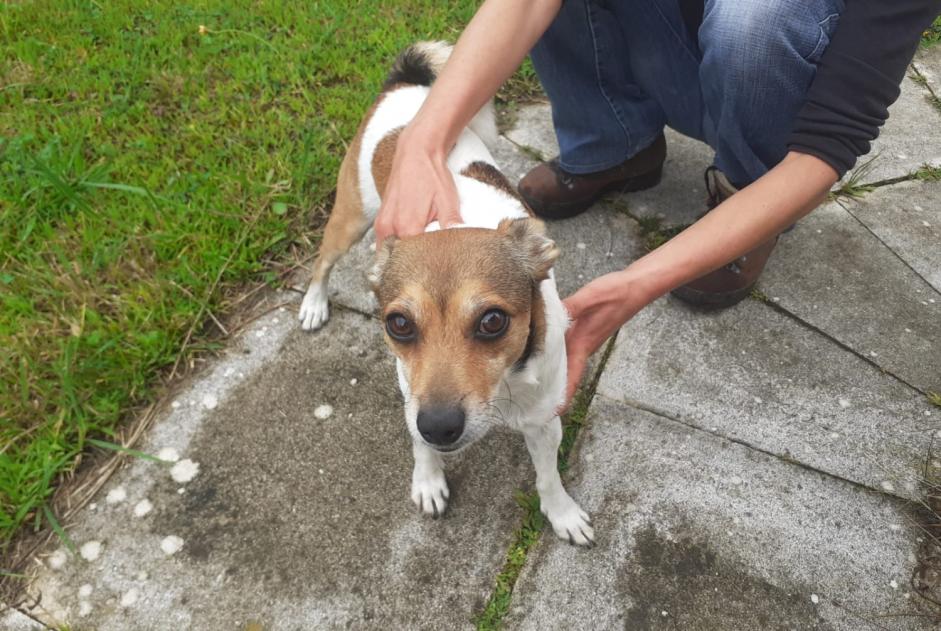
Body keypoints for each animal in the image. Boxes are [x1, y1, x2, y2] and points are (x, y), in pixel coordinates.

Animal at [300, 42, 596, 544]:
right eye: (398, 324)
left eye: (493, 321)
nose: (439, 427)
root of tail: (405, 83)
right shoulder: (411, 393)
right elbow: (417, 443)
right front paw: (428, 480)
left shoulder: (544, 420)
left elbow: (548, 476)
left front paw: (562, 513)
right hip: (352, 217)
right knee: (323, 261)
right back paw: (314, 304)